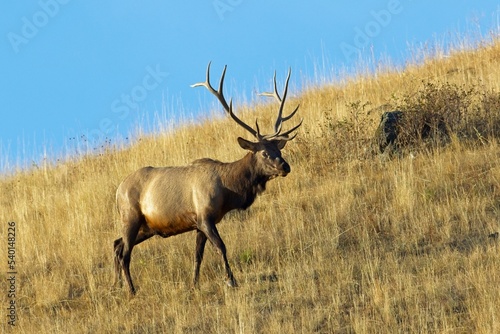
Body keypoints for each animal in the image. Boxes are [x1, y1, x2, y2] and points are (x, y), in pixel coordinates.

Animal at [113, 62, 300, 294]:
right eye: (264, 152)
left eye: (279, 149)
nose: (285, 166)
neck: (228, 190)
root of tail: (118, 191)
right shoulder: (204, 216)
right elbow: (221, 247)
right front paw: (231, 280)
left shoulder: (198, 224)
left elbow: (198, 255)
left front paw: (194, 284)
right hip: (130, 216)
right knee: (125, 254)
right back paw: (131, 290)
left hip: (147, 226)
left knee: (116, 245)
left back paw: (116, 285)